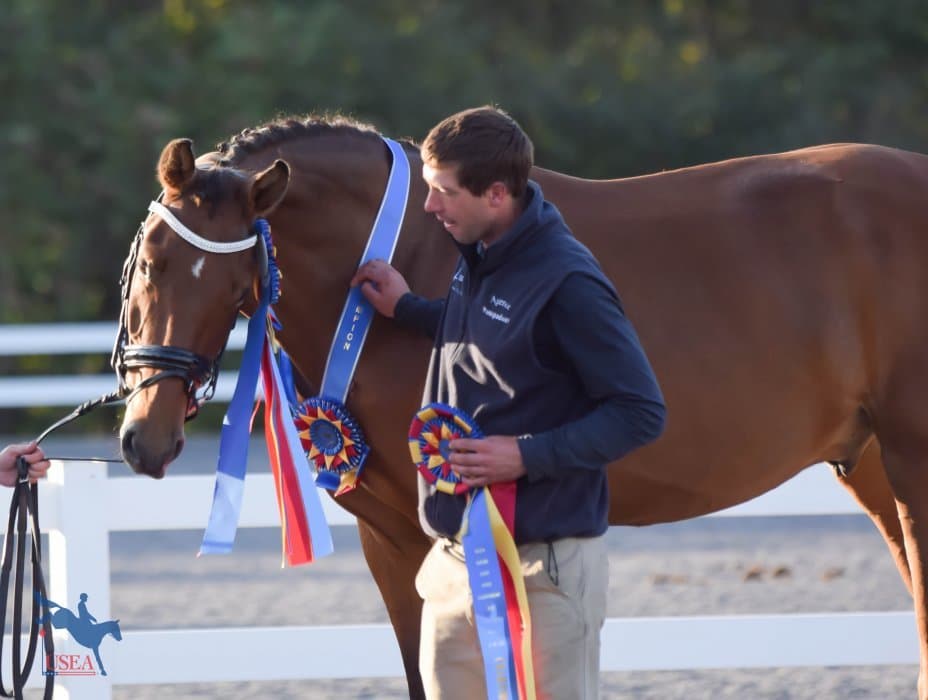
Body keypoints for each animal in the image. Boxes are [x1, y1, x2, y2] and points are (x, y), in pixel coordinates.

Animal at [115, 115, 928, 699]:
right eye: (150, 261)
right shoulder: (391, 540)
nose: (145, 439)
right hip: (871, 468)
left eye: (233, 279)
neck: (404, 250)